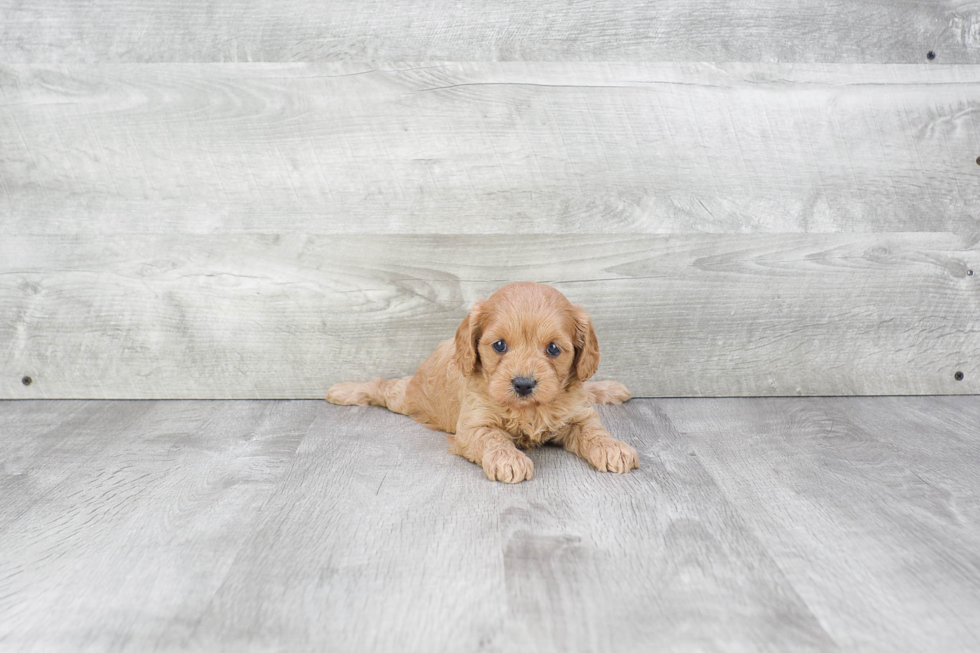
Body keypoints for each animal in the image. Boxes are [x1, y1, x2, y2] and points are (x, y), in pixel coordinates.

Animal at [326, 282, 640, 482]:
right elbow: (493, 438)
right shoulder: (474, 425)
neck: (528, 409)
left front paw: (613, 448)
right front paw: (509, 460)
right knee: (382, 386)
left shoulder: (579, 414)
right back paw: (342, 391)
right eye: (499, 345)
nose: (523, 384)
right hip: (408, 398)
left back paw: (611, 388)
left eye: (553, 348)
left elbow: (594, 431)